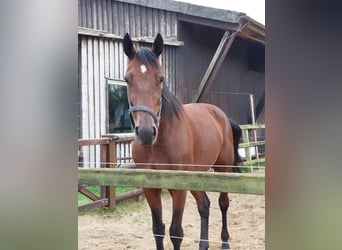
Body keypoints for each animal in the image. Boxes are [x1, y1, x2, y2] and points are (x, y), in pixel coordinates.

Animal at [124, 33, 242, 250]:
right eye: (127, 79)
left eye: (161, 78)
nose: (146, 132)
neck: (157, 145)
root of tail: (220, 115)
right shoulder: (150, 189)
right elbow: (158, 229)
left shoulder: (179, 189)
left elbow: (176, 232)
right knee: (204, 205)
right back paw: (203, 245)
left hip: (223, 168)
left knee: (223, 203)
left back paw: (224, 242)